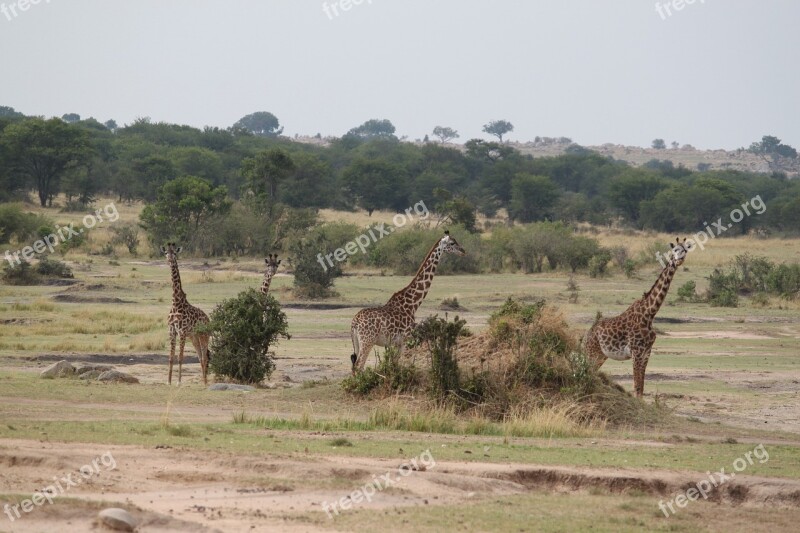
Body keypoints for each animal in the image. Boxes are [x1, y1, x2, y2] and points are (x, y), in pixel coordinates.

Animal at [161, 243, 211, 384]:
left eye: (175, 253)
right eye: (166, 253)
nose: (170, 260)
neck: (176, 303)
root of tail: (208, 319)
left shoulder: (182, 332)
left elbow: (180, 357)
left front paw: (178, 382)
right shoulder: (172, 331)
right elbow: (171, 358)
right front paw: (169, 382)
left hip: (204, 335)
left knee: (205, 357)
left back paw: (205, 382)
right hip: (194, 337)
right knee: (200, 357)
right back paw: (203, 381)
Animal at [346, 230, 466, 374]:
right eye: (452, 243)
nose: (463, 251)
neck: (412, 304)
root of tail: (355, 323)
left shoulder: (395, 343)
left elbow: (392, 365)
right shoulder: (404, 340)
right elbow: (396, 365)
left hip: (357, 342)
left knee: (354, 367)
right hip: (367, 341)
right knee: (359, 366)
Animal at [580, 239, 692, 396]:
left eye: (685, 250)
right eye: (674, 250)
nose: (679, 260)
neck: (649, 313)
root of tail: (586, 335)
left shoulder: (646, 353)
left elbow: (641, 388)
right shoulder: (636, 352)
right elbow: (637, 387)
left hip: (601, 355)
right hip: (591, 353)